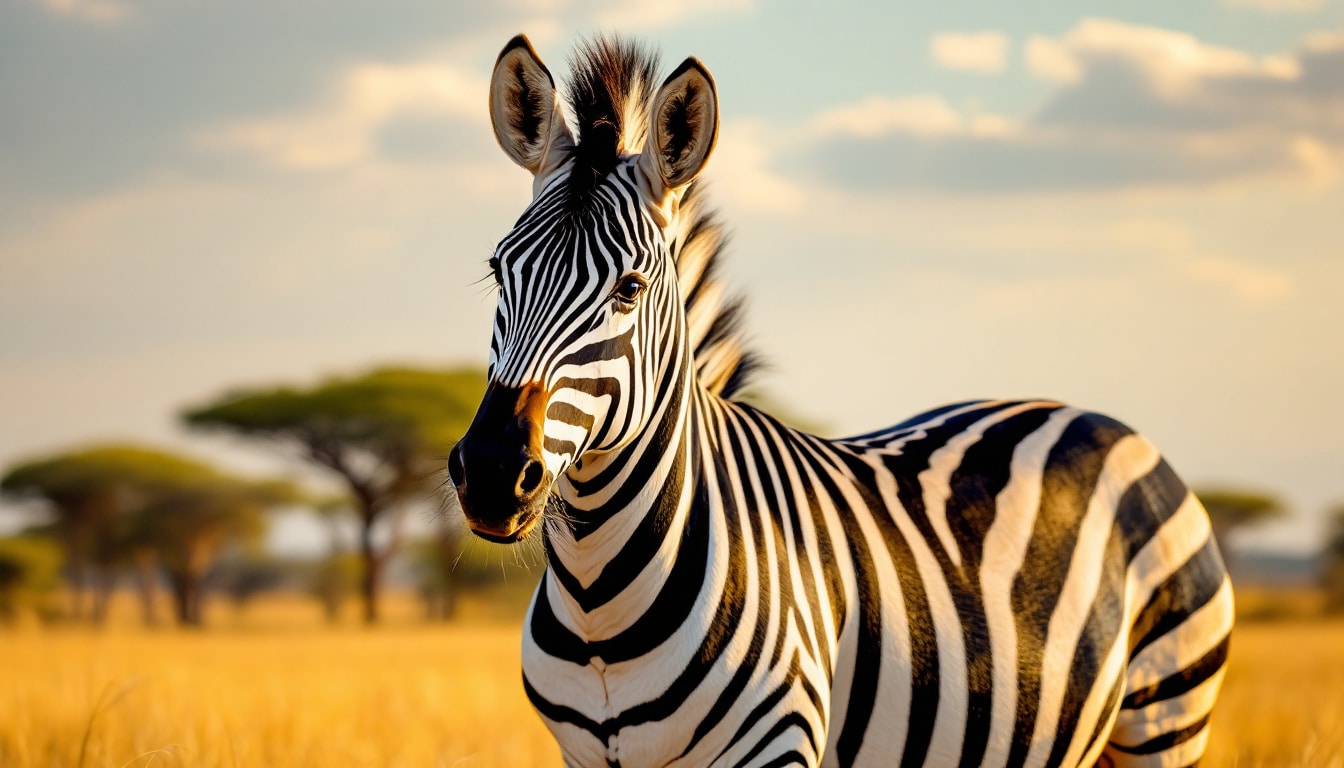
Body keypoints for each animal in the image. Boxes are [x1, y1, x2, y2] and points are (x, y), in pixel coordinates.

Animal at [446, 33, 1231, 763]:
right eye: (497, 269)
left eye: (630, 289)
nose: (491, 471)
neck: (599, 605)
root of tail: (1095, 419)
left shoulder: (778, 741)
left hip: (1167, 714)